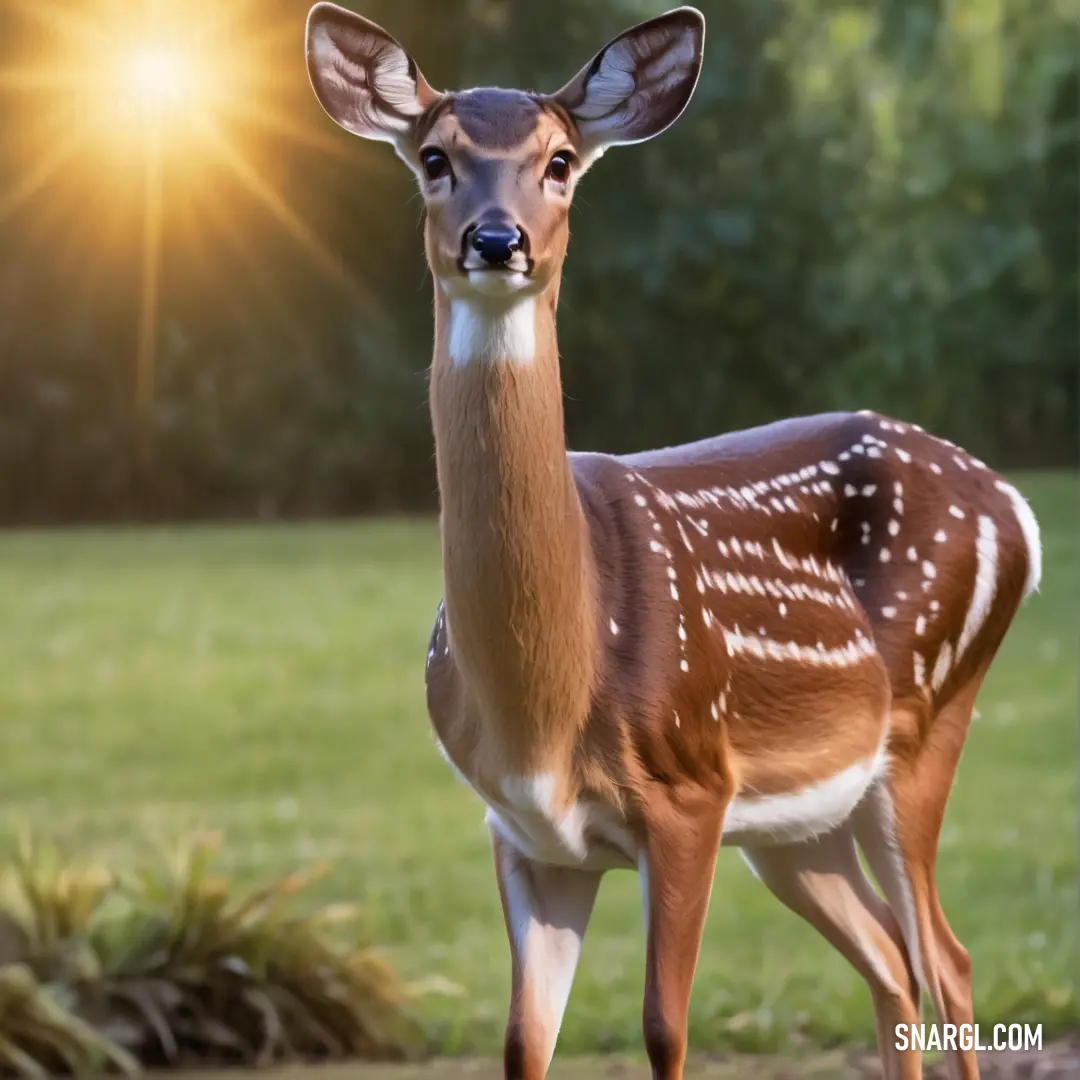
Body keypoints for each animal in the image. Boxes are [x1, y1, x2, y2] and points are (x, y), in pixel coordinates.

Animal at [306, 4, 1045, 1075]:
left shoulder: (689, 793)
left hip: (926, 720)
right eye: (435, 158)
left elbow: (664, 1028)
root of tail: (1016, 505)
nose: (498, 238)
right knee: (890, 961)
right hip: (798, 824)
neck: (548, 707)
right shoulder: (524, 832)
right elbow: (523, 1042)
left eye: (560, 160)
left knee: (946, 958)